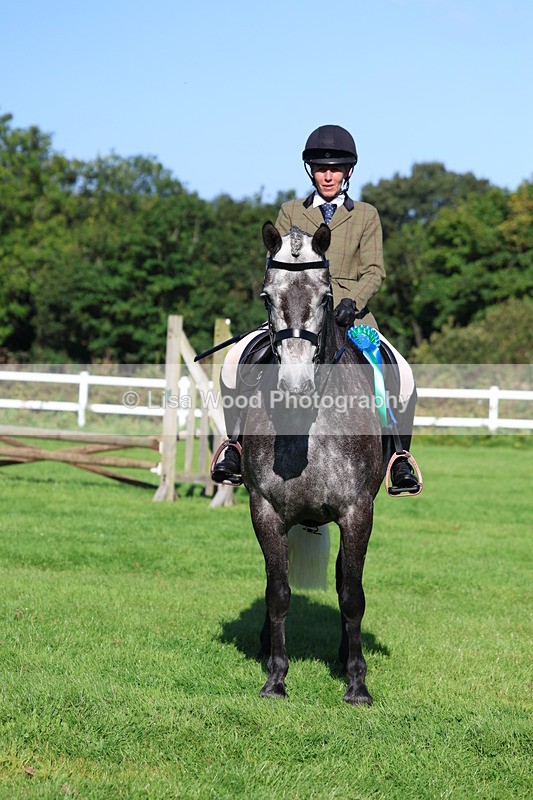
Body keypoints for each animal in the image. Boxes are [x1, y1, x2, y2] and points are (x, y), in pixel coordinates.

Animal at [240, 221, 383, 705]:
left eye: (325, 297)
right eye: (267, 297)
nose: (295, 386)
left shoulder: (357, 512)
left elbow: (352, 595)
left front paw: (357, 684)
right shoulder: (265, 510)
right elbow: (277, 592)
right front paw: (275, 677)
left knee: (343, 583)